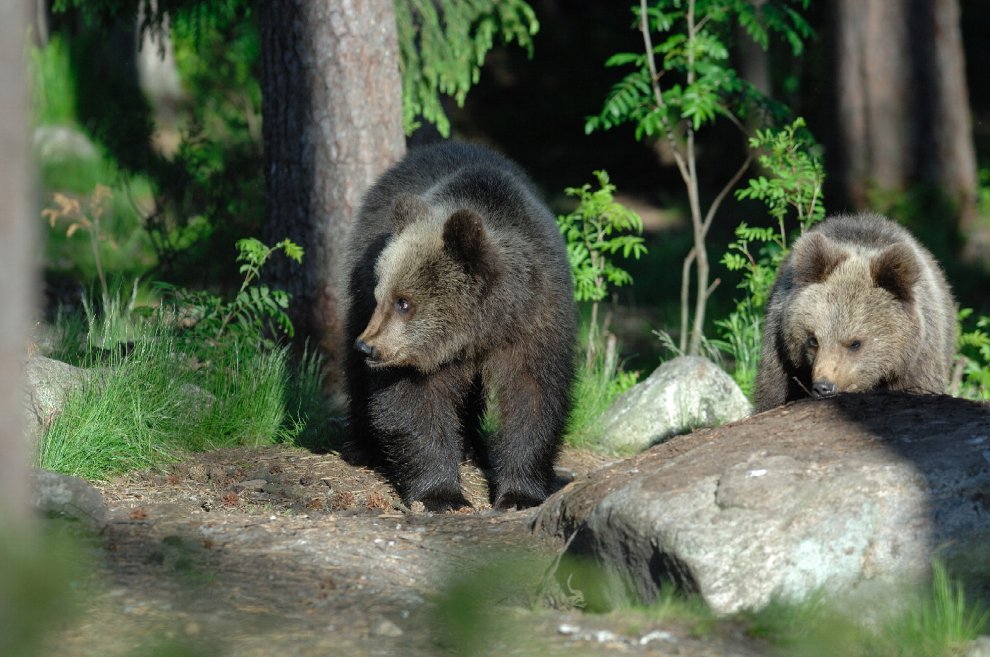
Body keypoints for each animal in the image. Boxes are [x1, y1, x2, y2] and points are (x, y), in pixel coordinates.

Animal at [342, 142, 576, 511]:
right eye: (385, 296)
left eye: (404, 302)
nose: (368, 346)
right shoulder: (413, 351)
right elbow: (412, 402)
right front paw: (442, 494)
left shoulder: (538, 320)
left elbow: (534, 396)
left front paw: (519, 494)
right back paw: (362, 446)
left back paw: (470, 447)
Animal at [754, 212, 956, 412]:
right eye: (813, 340)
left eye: (855, 343)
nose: (824, 387)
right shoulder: (781, 351)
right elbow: (772, 395)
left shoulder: (917, 361)